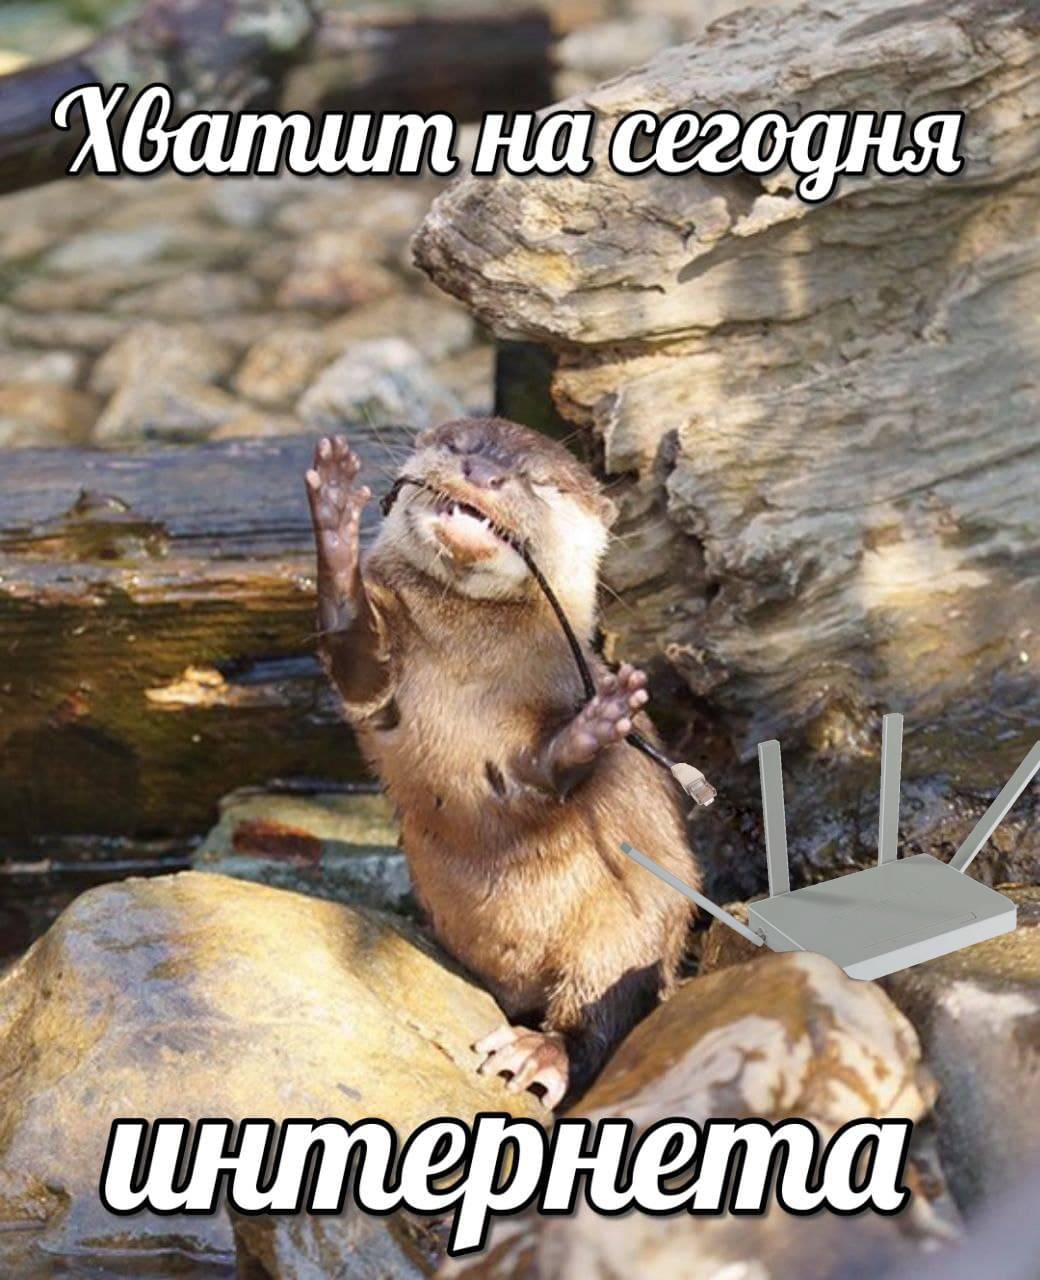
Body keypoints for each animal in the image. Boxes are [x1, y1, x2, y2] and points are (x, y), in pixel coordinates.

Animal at [305, 419, 699, 1108]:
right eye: (460, 445)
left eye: (538, 482)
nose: (484, 475)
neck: (473, 670)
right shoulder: (380, 686)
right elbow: (359, 662)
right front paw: (333, 518)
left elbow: (543, 773)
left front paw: (600, 721)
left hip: (634, 924)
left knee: (606, 1012)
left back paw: (540, 1052)